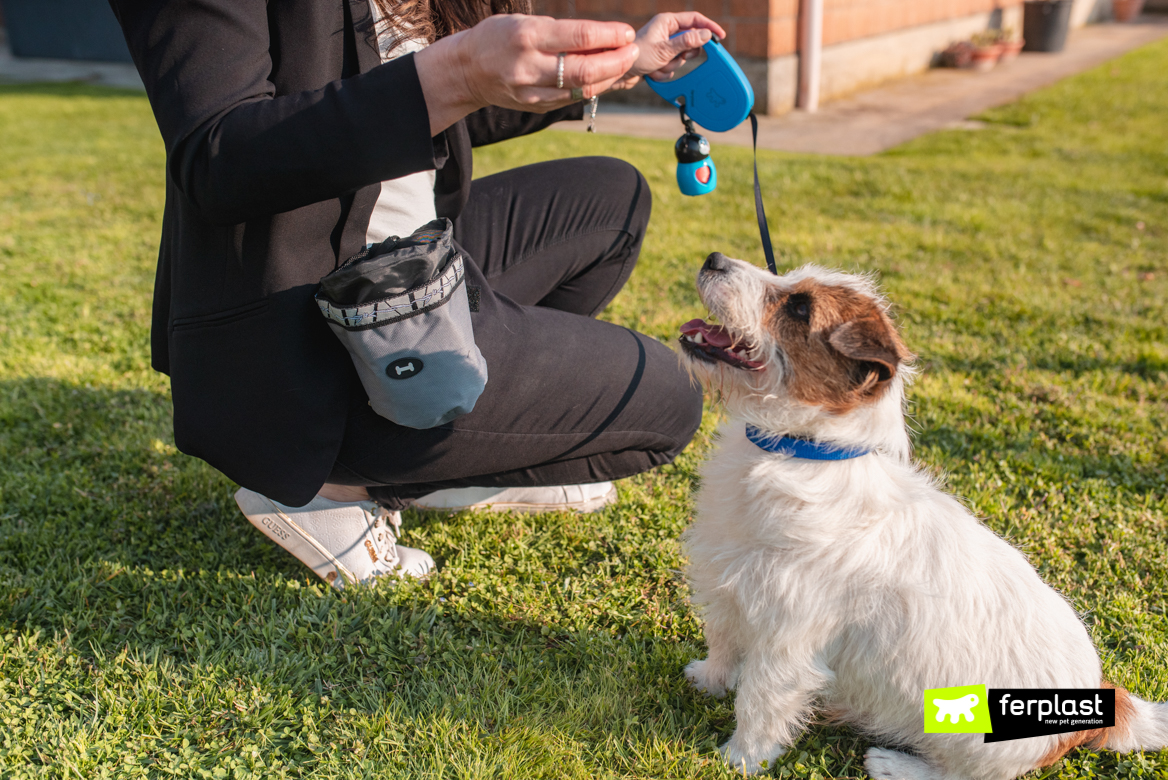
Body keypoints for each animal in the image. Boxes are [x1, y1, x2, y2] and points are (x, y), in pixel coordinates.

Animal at [682, 253, 1163, 775]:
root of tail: (1104, 705)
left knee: (965, 775)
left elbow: (762, 700)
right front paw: (710, 678)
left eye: (799, 308)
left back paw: (893, 764)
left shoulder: (787, 637)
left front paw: (739, 760)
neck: (801, 452)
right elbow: (723, 638)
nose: (713, 259)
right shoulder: (729, 584)